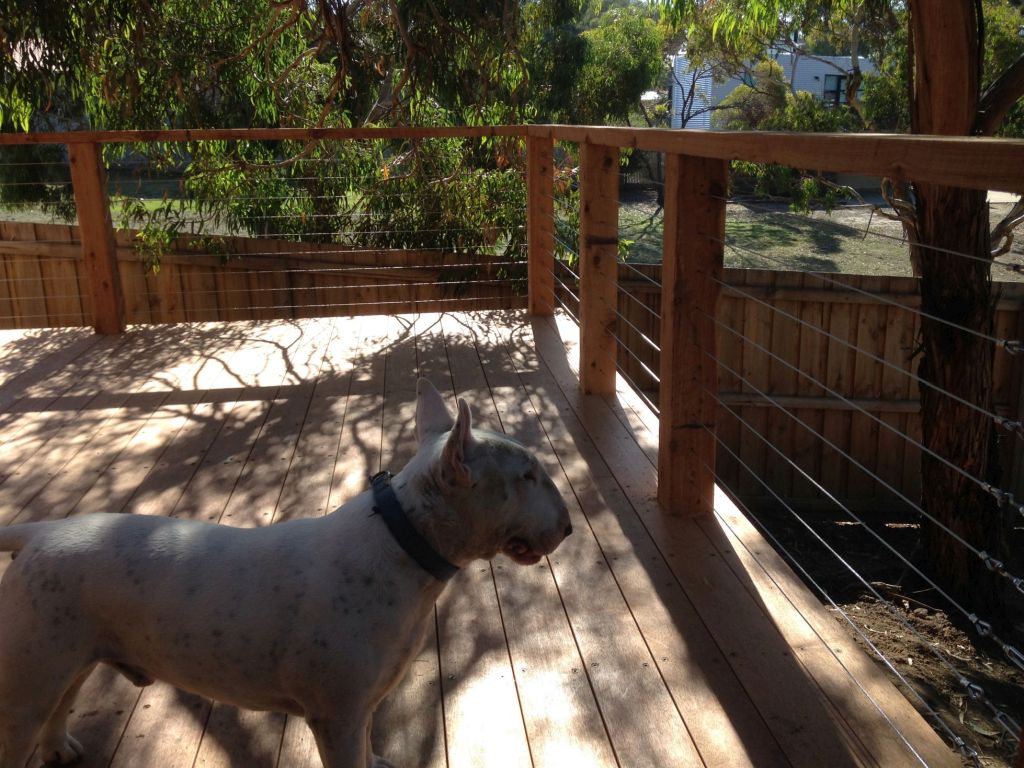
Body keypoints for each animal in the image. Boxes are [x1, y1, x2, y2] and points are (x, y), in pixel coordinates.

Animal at [0, 378, 572, 767]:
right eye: (527, 476)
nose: (568, 529)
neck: (403, 542)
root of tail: (39, 534)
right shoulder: (336, 716)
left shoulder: (364, 705)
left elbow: (369, 742)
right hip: (29, 678)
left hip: (71, 655)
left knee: (62, 702)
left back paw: (60, 749)